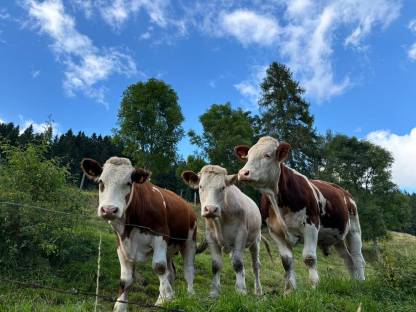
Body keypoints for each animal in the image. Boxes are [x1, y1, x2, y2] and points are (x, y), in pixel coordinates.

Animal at [81, 157, 198, 310]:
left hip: (189, 241)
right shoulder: (121, 243)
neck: (131, 227)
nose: (109, 210)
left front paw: (168, 295)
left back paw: (190, 296)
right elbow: (125, 278)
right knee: (171, 271)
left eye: (129, 183)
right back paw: (160, 301)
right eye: (101, 182)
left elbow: (159, 267)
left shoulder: (160, 236)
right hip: (169, 249)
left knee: (188, 270)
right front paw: (120, 306)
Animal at [181, 166, 264, 298]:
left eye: (223, 187)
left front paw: (241, 291)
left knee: (255, 265)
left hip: (255, 241)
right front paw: (214, 291)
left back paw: (258, 290)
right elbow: (216, 265)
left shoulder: (240, 235)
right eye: (200, 186)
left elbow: (238, 264)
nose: (210, 209)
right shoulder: (211, 238)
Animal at [236, 135, 366, 294]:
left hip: (354, 228)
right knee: (348, 259)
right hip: (338, 236)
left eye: (267, 155)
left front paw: (314, 286)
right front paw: (289, 291)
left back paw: (361, 281)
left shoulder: (311, 224)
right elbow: (286, 261)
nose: (243, 173)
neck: (278, 201)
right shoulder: (275, 232)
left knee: (357, 256)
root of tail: (343, 191)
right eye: (248, 156)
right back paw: (354, 282)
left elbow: (309, 258)